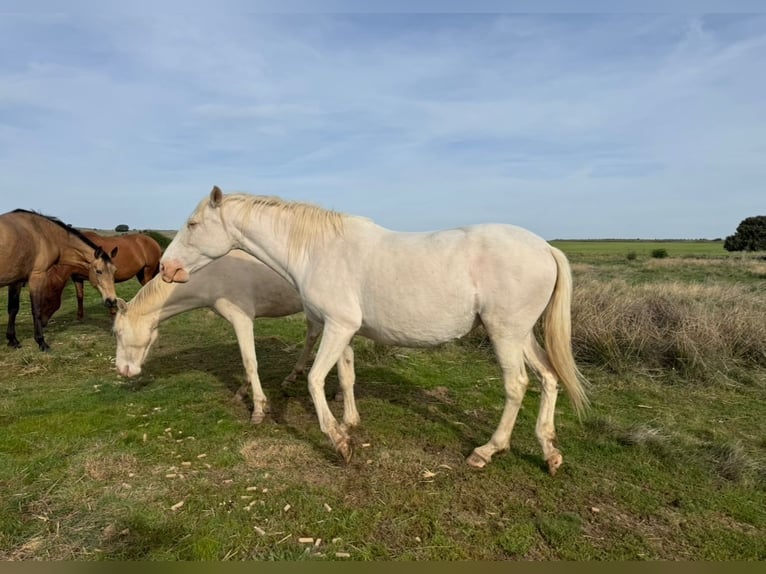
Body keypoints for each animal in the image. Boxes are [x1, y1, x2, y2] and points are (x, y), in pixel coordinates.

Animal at [0, 209, 119, 351]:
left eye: (114, 271)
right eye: (98, 271)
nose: (112, 301)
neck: (43, 234)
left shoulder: (16, 280)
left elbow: (13, 309)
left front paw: (12, 340)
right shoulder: (36, 277)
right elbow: (36, 309)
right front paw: (41, 342)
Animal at [113, 250, 351, 425]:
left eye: (117, 332)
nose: (123, 371)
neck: (211, 275)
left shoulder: (242, 319)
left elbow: (250, 361)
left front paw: (258, 409)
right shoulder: (241, 322)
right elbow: (247, 361)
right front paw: (242, 392)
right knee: (315, 335)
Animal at [160, 186, 589, 475]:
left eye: (192, 224)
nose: (166, 268)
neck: (315, 250)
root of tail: (545, 248)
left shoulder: (337, 326)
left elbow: (315, 380)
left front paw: (339, 442)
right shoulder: (344, 330)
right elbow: (346, 377)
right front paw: (351, 422)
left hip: (505, 334)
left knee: (517, 385)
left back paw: (487, 450)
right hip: (522, 335)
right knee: (549, 378)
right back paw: (549, 452)